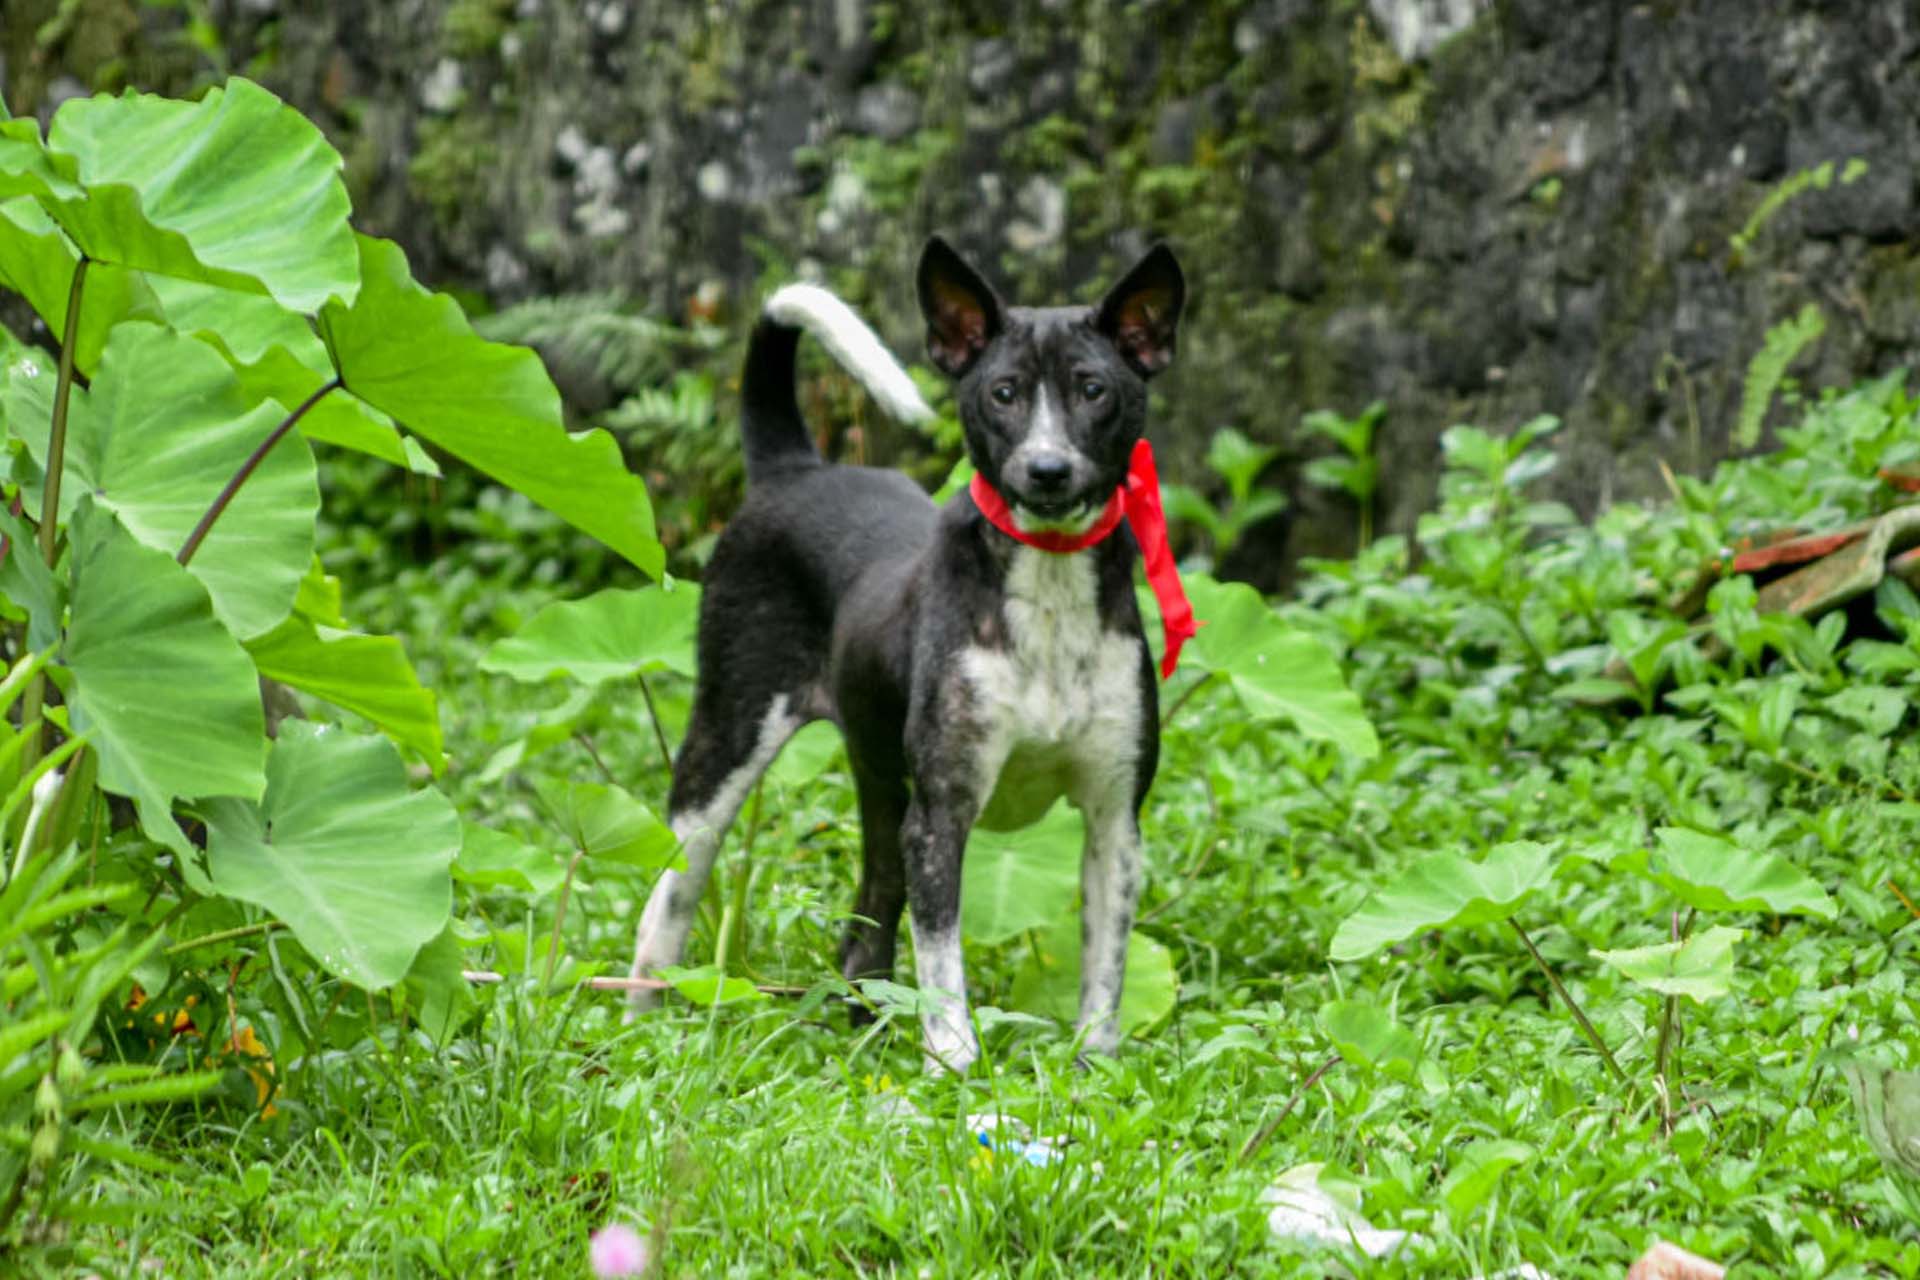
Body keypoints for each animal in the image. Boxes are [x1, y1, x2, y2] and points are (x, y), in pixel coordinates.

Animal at [625, 237, 1182, 1074]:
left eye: (1094, 391)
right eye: (1003, 393)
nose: (1047, 471)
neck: (1047, 587)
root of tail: (795, 468)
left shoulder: (1115, 818)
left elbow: (1104, 971)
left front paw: (1091, 1067)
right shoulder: (941, 815)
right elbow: (943, 965)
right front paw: (954, 1066)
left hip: (881, 784)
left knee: (864, 931)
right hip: (726, 745)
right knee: (671, 896)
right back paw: (640, 1017)